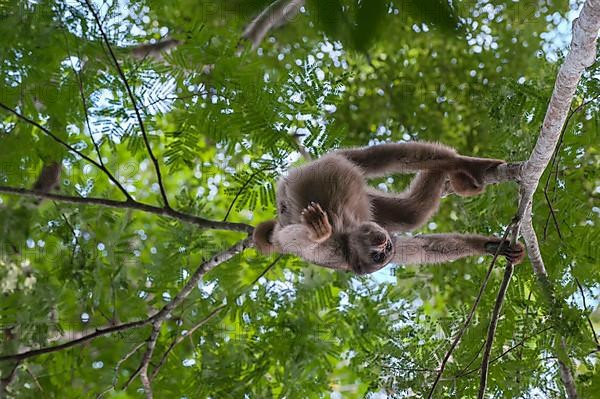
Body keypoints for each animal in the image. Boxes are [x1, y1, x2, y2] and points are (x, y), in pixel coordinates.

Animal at [253, 142, 524, 276]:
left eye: (385, 250)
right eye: (377, 256)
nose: (385, 244)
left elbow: (427, 247)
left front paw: (493, 247)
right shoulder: (331, 250)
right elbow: (302, 241)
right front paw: (318, 230)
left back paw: (463, 165)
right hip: (319, 171)